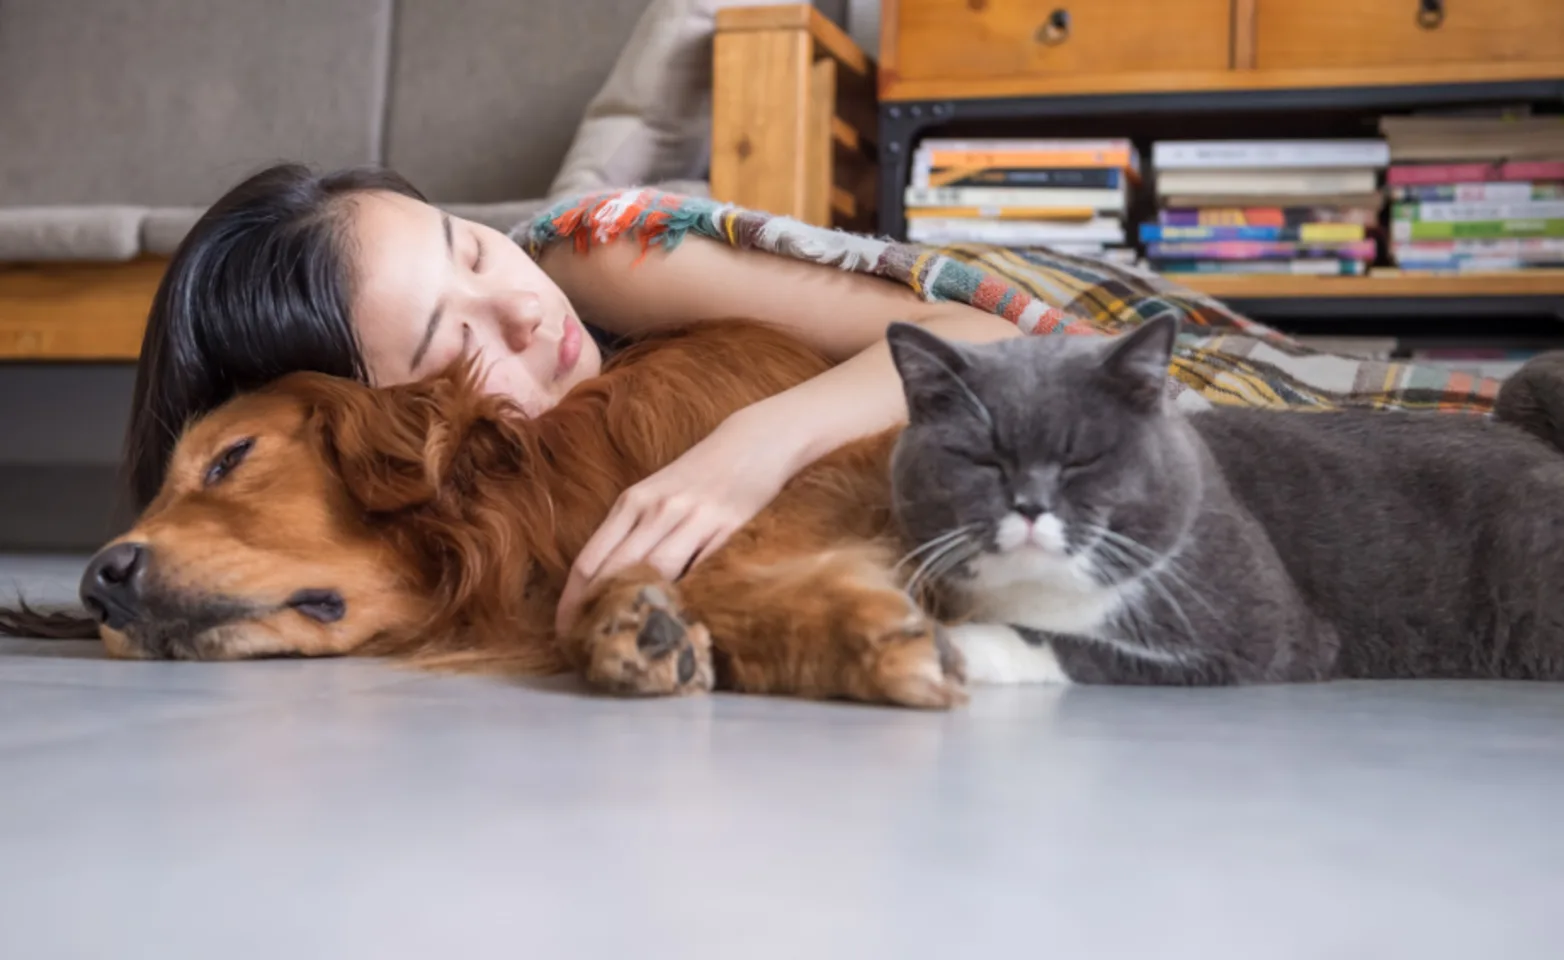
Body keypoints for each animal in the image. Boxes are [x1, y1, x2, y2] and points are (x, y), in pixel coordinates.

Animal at [888, 320, 1564, 687]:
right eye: (983, 460)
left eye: (1083, 458)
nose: (1030, 505)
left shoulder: (1265, 632)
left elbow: (1070, 647)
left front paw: (956, 646)